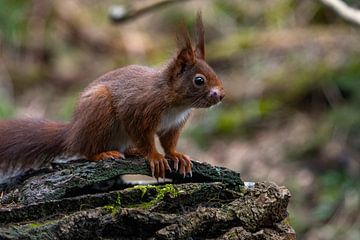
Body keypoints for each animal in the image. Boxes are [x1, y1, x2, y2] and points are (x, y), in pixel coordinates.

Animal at [0, 13, 224, 182]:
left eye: (214, 71)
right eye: (199, 80)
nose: (221, 95)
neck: (176, 103)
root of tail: (73, 131)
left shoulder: (174, 125)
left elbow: (169, 142)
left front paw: (177, 155)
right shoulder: (138, 111)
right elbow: (144, 137)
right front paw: (154, 156)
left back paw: (132, 150)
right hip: (99, 110)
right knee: (85, 149)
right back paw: (103, 154)